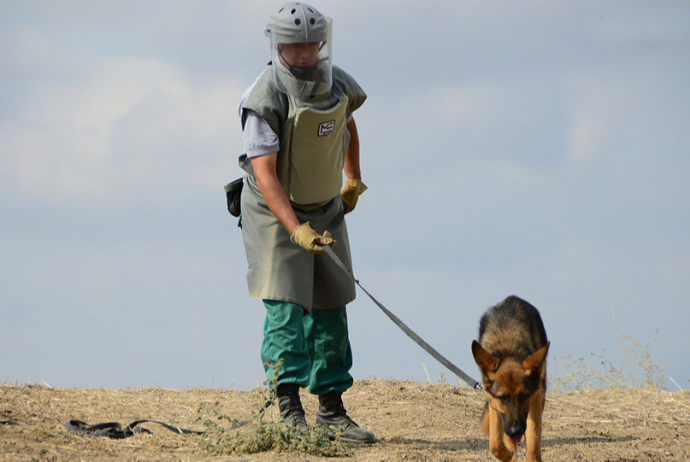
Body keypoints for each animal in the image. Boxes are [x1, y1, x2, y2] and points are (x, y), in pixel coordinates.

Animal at [470, 298, 544, 460]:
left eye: (524, 396)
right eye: (502, 398)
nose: (515, 432)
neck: (507, 349)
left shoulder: (536, 395)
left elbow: (533, 441)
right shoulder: (494, 401)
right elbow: (495, 444)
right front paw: (508, 454)